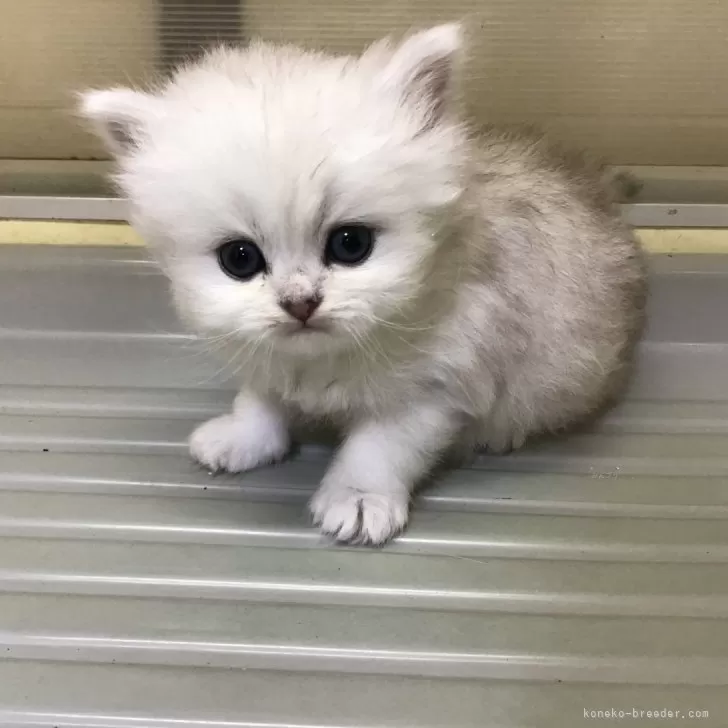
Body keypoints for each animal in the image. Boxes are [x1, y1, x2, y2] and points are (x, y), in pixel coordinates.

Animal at [80, 23, 647, 545]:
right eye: (239, 259)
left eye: (350, 245)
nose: (300, 303)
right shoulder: (266, 355)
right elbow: (260, 400)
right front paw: (245, 439)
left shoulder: (433, 388)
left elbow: (378, 450)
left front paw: (357, 500)